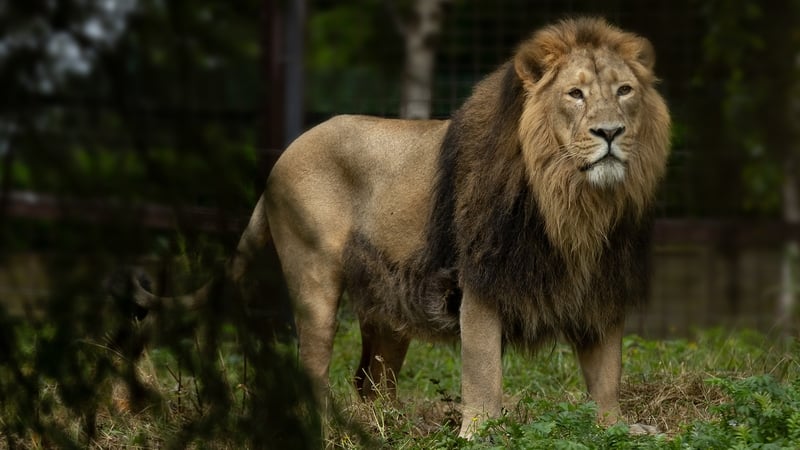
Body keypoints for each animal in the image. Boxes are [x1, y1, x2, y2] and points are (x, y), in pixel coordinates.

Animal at [128, 17, 670, 438]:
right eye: (575, 94)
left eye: (624, 91)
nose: (610, 132)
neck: (573, 202)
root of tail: (280, 160)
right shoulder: (480, 284)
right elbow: (484, 374)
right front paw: (479, 433)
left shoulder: (601, 287)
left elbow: (606, 375)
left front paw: (618, 427)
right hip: (314, 279)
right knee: (314, 367)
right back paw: (324, 429)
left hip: (388, 302)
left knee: (371, 382)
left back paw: (387, 426)